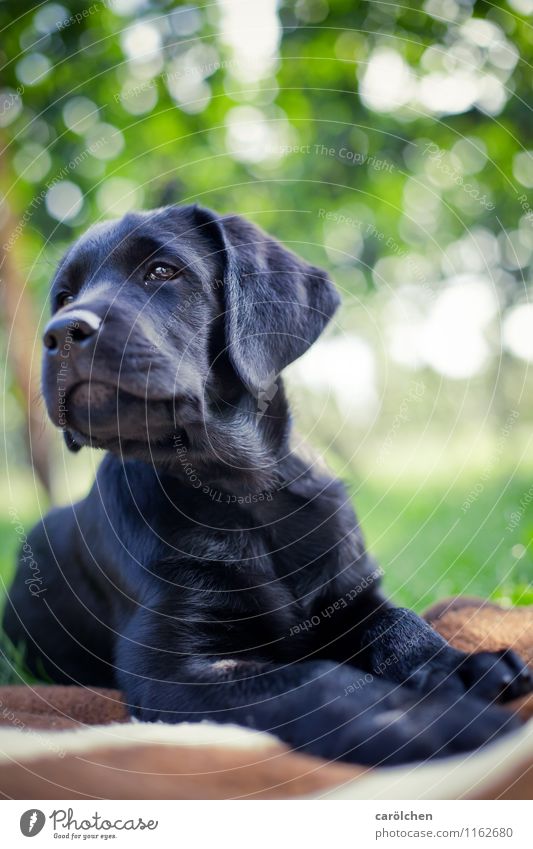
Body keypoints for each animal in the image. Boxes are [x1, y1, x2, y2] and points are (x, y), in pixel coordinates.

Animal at [3, 204, 528, 760]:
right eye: (63, 298)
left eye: (162, 271)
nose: (61, 333)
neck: (242, 493)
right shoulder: (170, 668)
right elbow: (318, 681)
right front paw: (446, 726)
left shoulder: (351, 595)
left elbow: (403, 621)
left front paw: (462, 666)